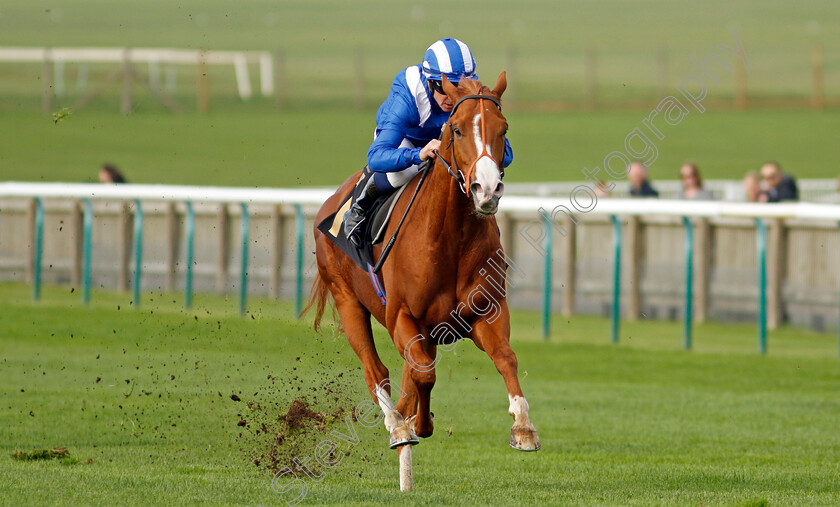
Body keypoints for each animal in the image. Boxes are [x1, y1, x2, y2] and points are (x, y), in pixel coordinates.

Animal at [306, 73, 540, 454]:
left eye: (503, 128)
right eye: (457, 130)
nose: (487, 189)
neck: (450, 240)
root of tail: (331, 201)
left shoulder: (485, 311)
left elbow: (506, 357)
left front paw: (523, 427)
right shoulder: (402, 315)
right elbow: (424, 373)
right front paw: (418, 423)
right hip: (347, 298)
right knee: (376, 370)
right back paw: (397, 425)